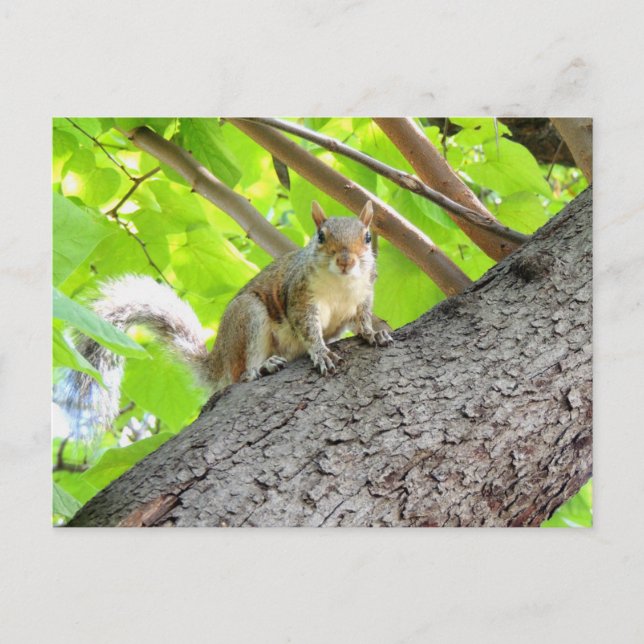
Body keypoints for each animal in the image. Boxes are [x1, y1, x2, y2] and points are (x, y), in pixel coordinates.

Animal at [57, 200, 393, 436]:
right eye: (321, 236)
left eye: (367, 237)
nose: (346, 260)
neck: (340, 284)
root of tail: (219, 357)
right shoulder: (298, 297)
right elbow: (308, 329)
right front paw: (322, 352)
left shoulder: (362, 297)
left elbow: (362, 319)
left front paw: (372, 333)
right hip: (248, 318)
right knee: (241, 374)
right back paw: (262, 368)